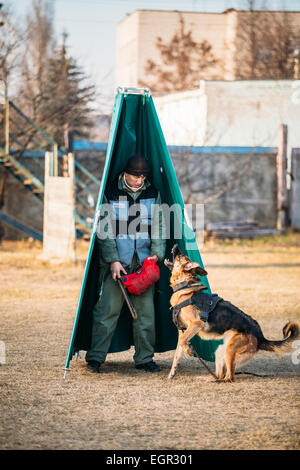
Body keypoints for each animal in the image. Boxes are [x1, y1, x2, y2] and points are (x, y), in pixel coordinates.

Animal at [165, 246, 298, 382]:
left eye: (180, 256)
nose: (175, 246)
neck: (184, 287)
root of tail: (260, 336)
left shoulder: (197, 324)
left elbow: (183, 341)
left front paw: (188, 351)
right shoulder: (183, 331)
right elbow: (178, 353)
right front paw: (172, 373)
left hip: (230, 349)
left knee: (230, 377)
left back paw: (219, 381)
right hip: (220, 351)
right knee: (220, 374)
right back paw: (209, 378)